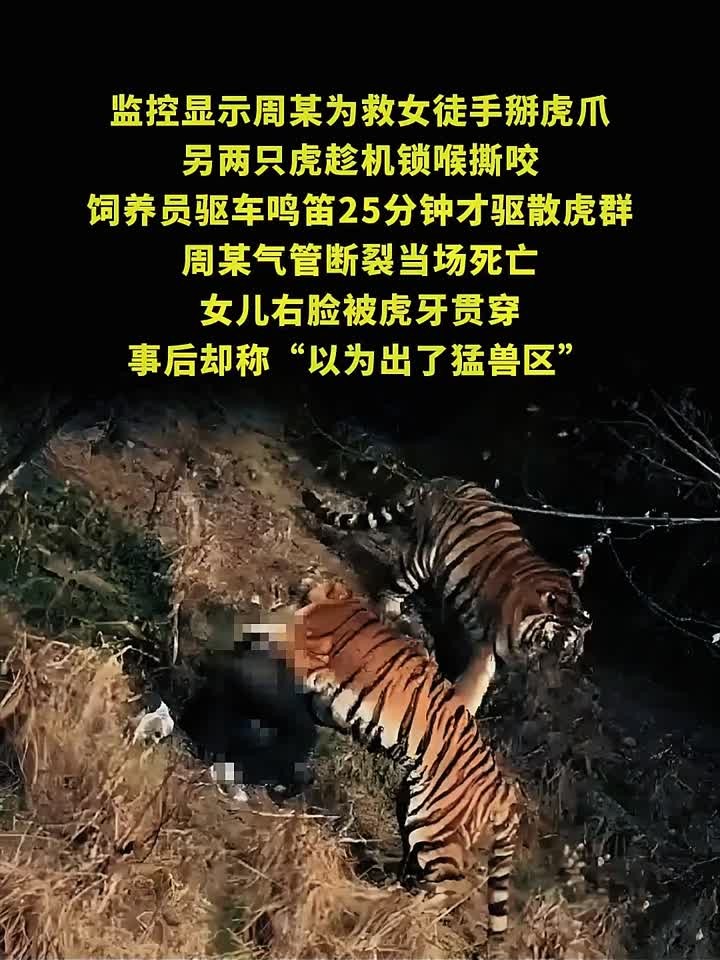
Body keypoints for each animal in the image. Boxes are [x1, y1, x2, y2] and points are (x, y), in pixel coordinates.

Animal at [265, 579, 525, 949]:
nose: (294, 588)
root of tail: (504, 791)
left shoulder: (303, 648)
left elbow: (272, 631)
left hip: (436, 828)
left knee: (451, 885)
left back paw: (400, 909)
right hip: (415, 810)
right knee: (418, 867)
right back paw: (389, 885)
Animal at [301, 474, 592, 707]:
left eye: (567, 655)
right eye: (549, 643)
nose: (550, 685)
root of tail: (443, 480)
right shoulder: (487, 647)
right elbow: (475, 685)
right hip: (422, 559)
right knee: (392, 592)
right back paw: (395, 619)